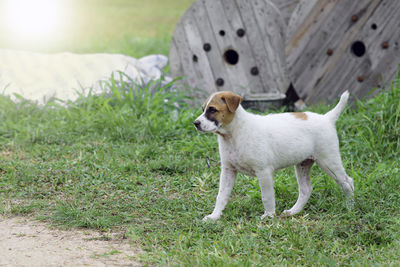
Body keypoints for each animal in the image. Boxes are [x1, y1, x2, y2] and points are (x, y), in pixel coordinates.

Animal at [194, 91, 354, 221]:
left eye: (212, 109)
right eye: (203, 109)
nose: (195, 123)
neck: (234, 134)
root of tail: (327, 118)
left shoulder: (263, 172)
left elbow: (267, 196)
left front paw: (269, 216)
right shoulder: (228, 170)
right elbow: (221, 196)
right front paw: (214, 216)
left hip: (329, 161)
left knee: (347, 183)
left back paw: (349, 207)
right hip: (303, 164)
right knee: (306, 189)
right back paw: (293, 211)